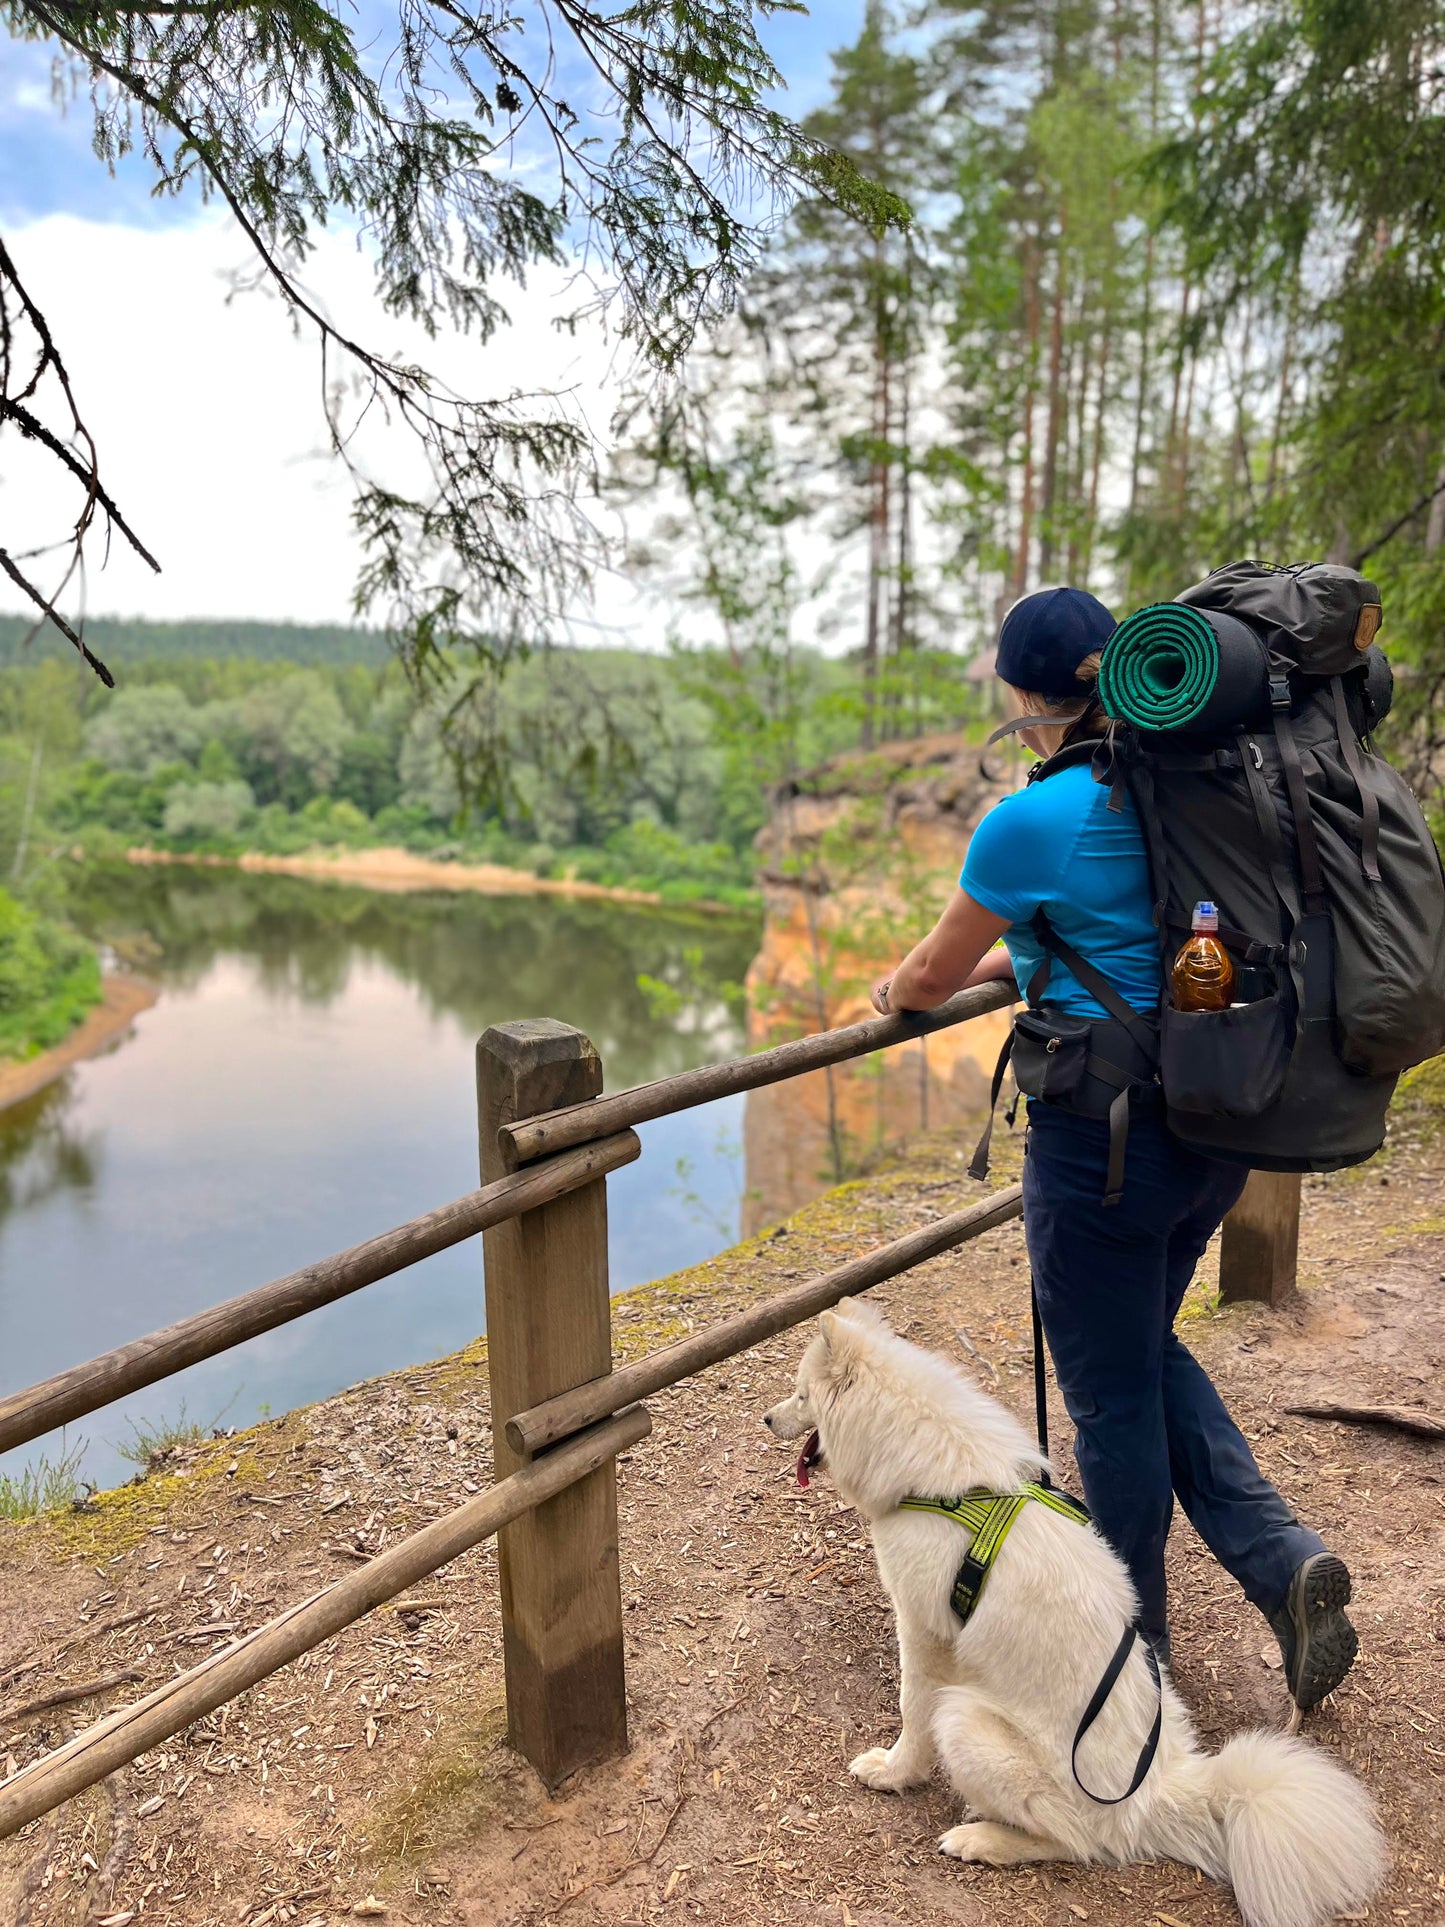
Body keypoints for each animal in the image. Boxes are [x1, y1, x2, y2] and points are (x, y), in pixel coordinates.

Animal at [762, 1294, 1387, 1927]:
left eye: (799, 1394)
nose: (766, 1419)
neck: (938, 1476)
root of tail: (1156, 1794)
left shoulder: (921, 1630)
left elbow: (911, 1711)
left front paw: (892, 1773)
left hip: (963, 1721)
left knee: (1079, 1842)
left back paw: (981, 1839)